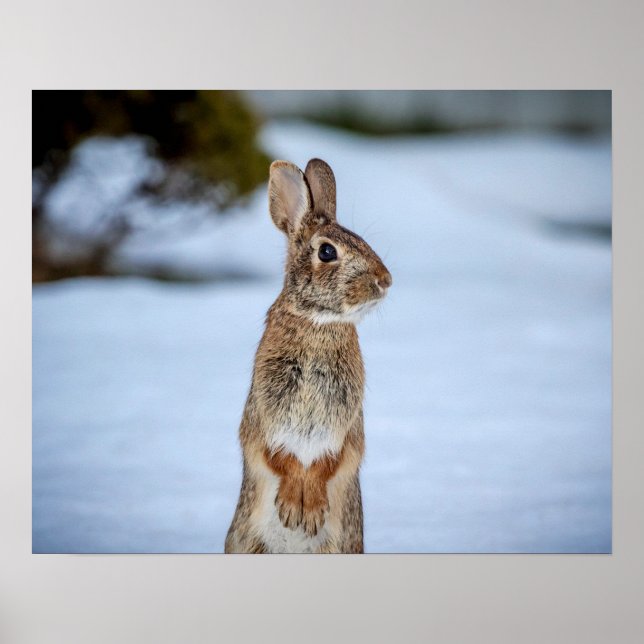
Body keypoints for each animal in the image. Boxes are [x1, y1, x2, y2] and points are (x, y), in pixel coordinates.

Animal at [225, 158, 392, 553]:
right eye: (327, 252)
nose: (385, 280)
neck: (318, 321)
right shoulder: (263, 415)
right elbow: (279, 458)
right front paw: (292, 509)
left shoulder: (346, 427)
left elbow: (329, 463)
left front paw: (309, 511)